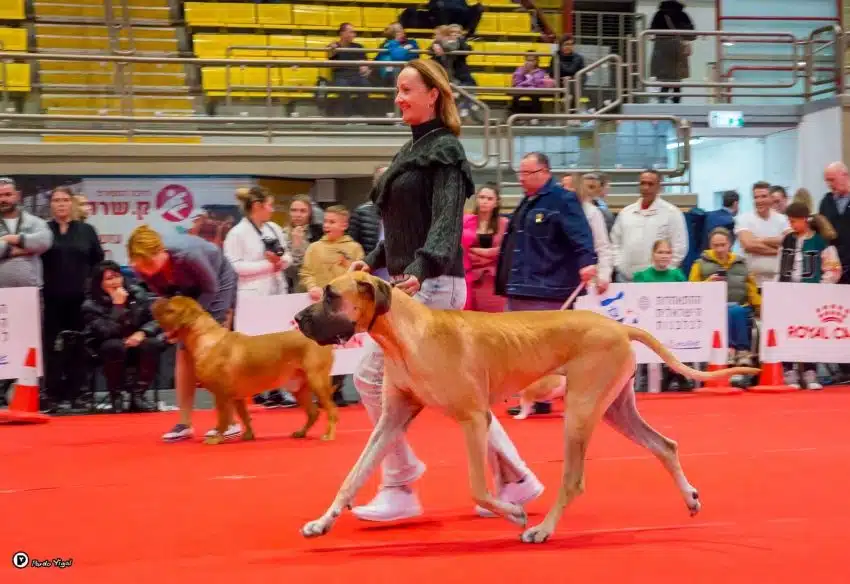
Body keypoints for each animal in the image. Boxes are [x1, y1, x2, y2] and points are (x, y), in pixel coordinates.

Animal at [151, 296, 336, 442]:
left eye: (170, 309)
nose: (153, 301)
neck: (204, 337)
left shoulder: (221, 394)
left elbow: (223, 419)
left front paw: (216, 438)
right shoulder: (237, 396)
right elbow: (245, 417)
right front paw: (248, 436)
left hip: (317, 381)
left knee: (332, 411)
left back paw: (329, 435)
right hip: (298, 388)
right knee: (313, 413)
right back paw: (301, 432)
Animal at [294, 274, 760, 544]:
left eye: (332, 296)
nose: (298, 319)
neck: (409, 334)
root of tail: (619, 326)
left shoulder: (473, 419)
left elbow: (478, 487)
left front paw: (514, 512)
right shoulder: (392, 420)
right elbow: (353, 476)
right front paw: (322, 522)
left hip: (580, 413)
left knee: (573, 480)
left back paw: (541, 528)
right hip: (615, 409)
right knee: (665, 445)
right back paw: (690, 498)